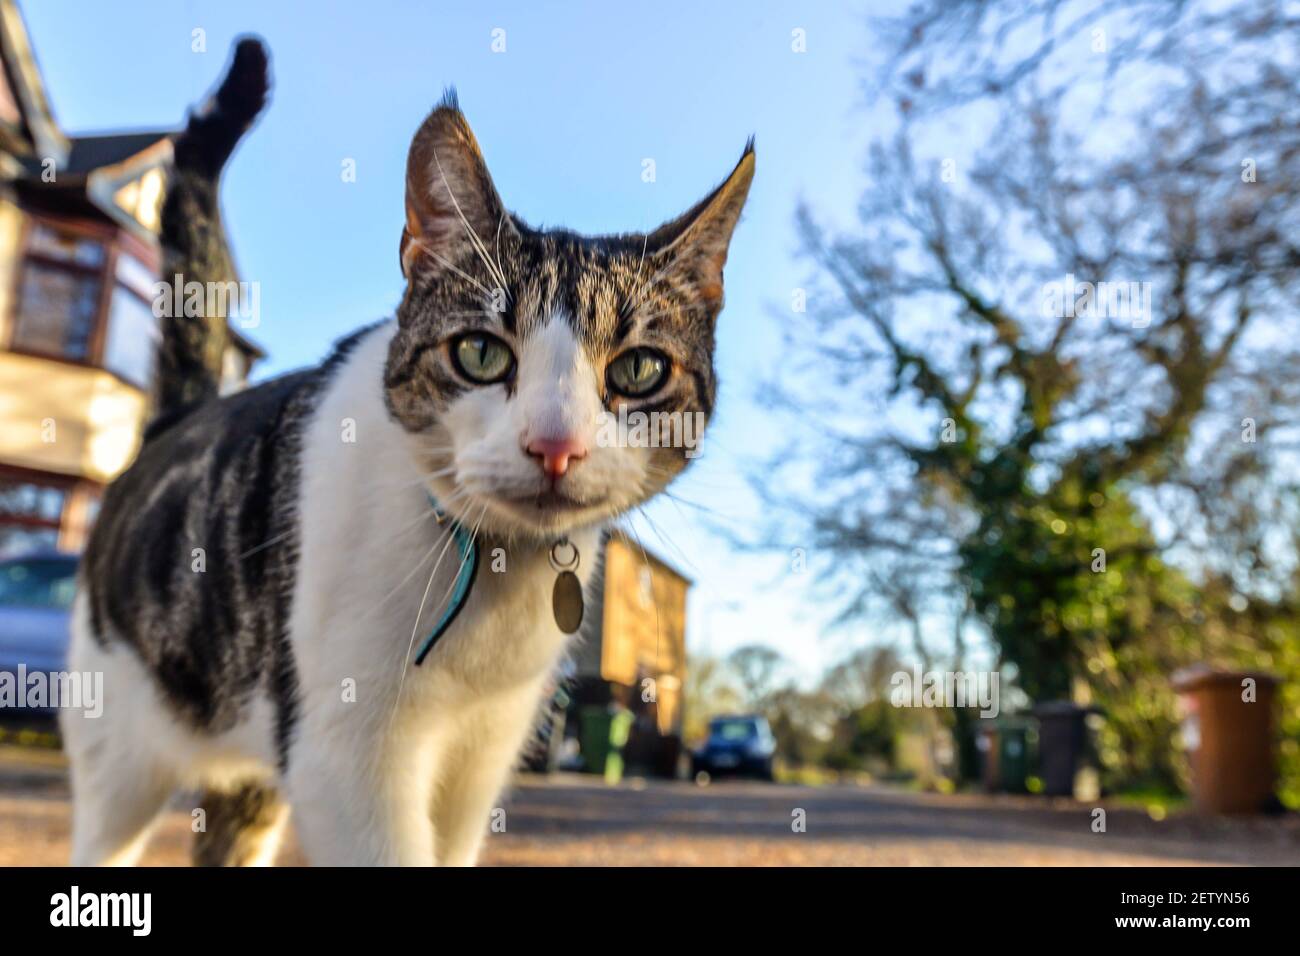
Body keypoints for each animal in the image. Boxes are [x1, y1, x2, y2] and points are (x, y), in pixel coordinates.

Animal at [58, 44, 754, 868]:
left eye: (639, 371)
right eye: (480, 353)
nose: (555, 445)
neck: (492, 585)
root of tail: (181, 417)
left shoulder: (480, 756)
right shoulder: (344, 755)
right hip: (121, 755)